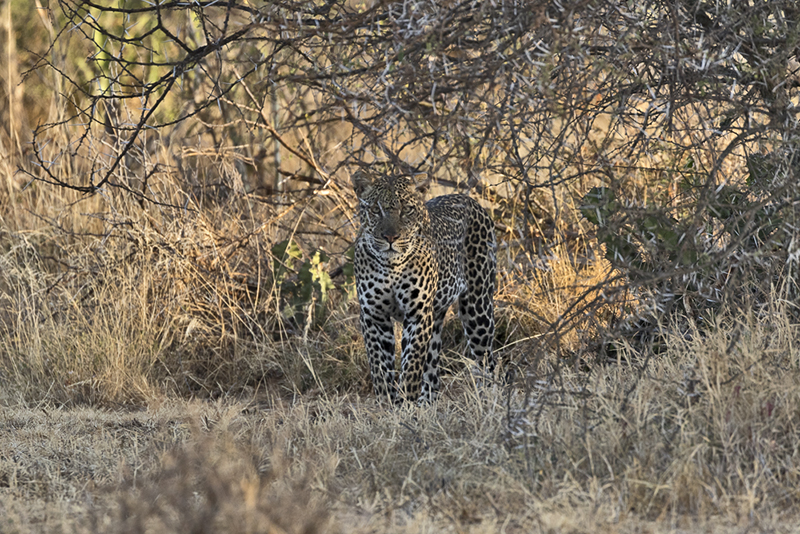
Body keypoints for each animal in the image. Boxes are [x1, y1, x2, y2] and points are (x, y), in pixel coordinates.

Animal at [354, 173, 496, 406]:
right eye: (375, 210)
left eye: (406, 210)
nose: (390, 237)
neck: (391, 265)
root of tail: (470, 200)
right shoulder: (373, 316)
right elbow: (379, 368)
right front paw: (387, 405)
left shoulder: (417, 314)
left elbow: (411, 366)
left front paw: (405, 406)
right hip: (437, 316)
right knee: (432, 373)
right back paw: (426, 403)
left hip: (477, 310)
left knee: (489, 362)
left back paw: (490, 400)